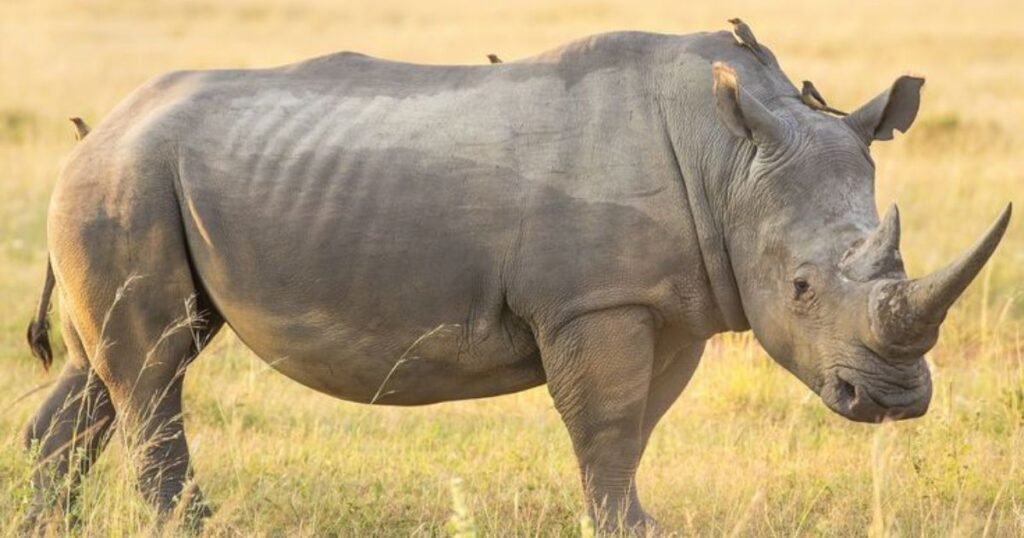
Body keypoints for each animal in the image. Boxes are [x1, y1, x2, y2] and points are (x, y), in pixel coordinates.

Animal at [23, 28, 1010, 532]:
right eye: (802, 288)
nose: (893, 400)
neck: (731, 158)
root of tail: (96, 129)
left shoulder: (669, 304)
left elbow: (635, 430)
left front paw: (631, 522)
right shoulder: (594, 301)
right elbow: (606, 427)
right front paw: (625, 528)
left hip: (124, 182)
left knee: (105, 369)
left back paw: (49, 524)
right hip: (126, 179)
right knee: (154, 369)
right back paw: (188, 522)